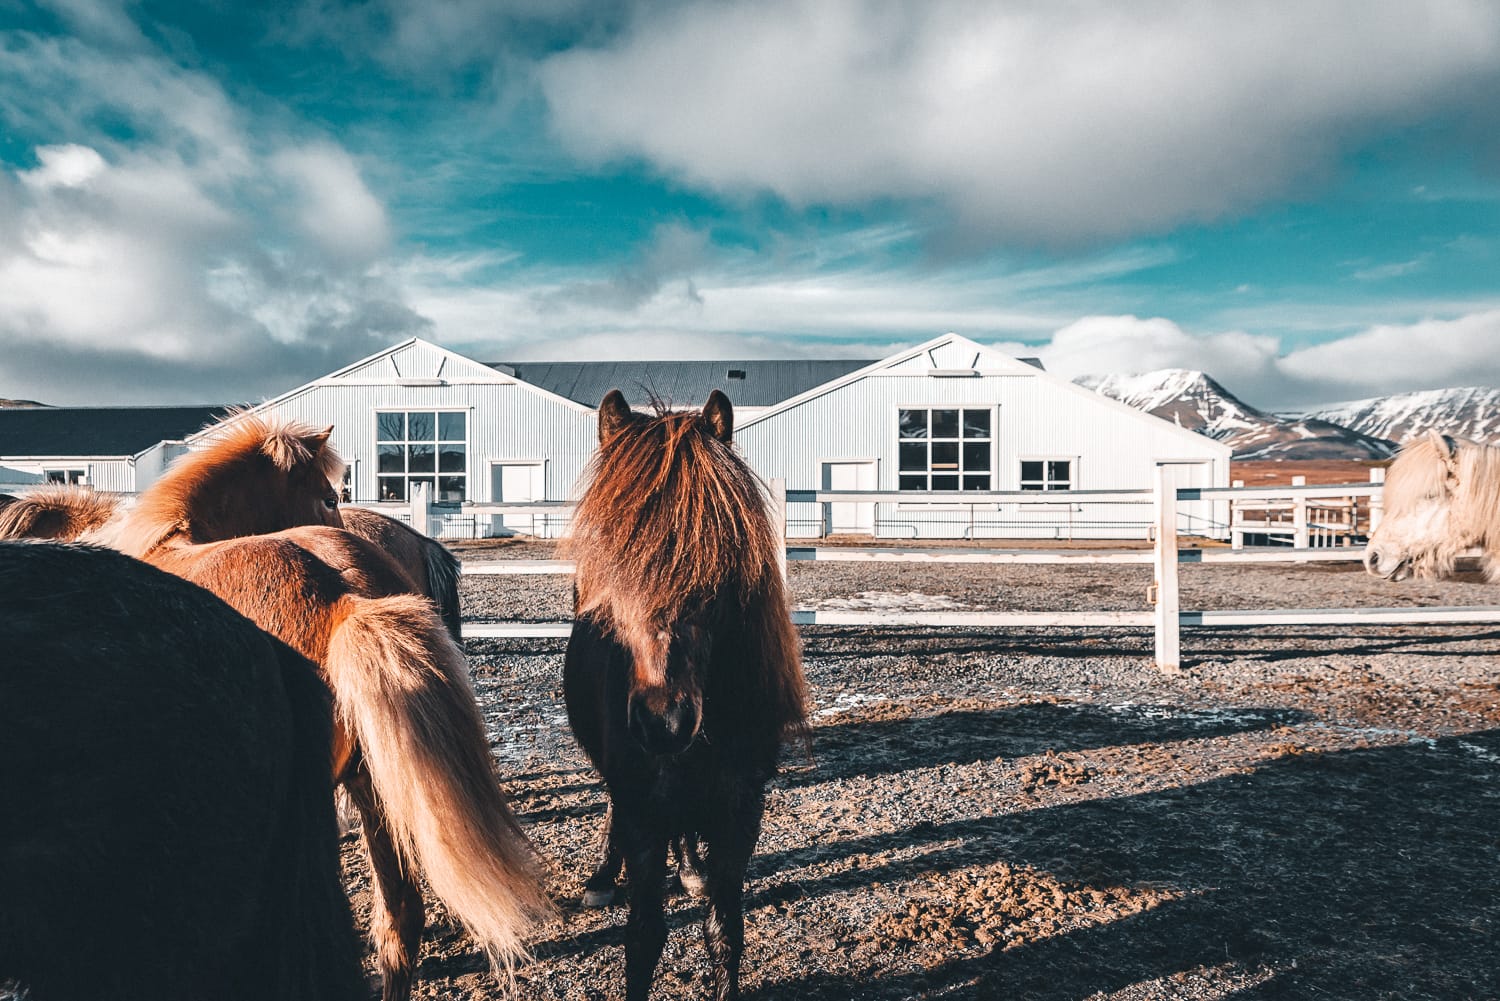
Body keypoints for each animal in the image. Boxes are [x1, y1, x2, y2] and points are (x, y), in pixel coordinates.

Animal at [561, 389, 809, 1001]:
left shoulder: (741, 809)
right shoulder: (641, 809)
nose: (663, 722)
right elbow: (644, 938)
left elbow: (726, 931)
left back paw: (691, 868)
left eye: (716, 558)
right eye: (611, 560)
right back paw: (603, 877)